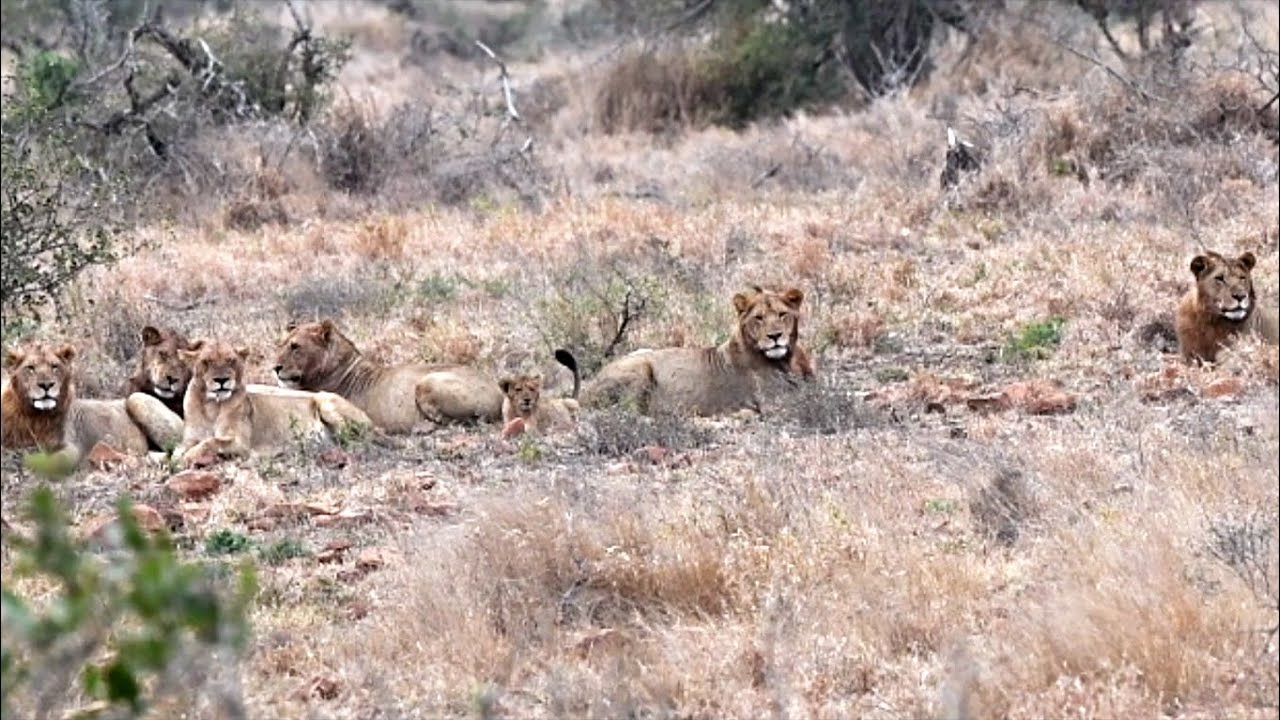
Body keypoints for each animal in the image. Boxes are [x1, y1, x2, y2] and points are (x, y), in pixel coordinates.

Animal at [2, 341, 184, 466]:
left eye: (55, 367)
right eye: (30, 368)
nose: (46, 385)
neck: (34, 417)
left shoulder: (73, 447)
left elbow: (53, 462)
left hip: (136, 397)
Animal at [177, 340, 374, 466]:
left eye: (231, 360)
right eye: (206, 362)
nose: (222, 380)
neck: (211, 405)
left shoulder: (240, 443)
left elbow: (211, 442)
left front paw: (188, 458)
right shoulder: (189, 438)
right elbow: (179, 449)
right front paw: (180, 457)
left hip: (325, 399)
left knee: (359, 438)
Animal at [272, 319, 504, 433]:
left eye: (295, 347)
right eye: (281, 345)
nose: (275, 368)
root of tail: (500, 390)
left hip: (426, 382)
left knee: (461, 422)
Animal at [565, 286, 815, 416]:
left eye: (782, 314)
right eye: (759, 318)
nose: (775, 336)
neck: (788, 359)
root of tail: (588, 388)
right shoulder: (774, 401)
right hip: (640, 366)